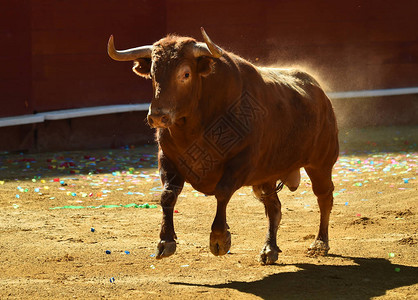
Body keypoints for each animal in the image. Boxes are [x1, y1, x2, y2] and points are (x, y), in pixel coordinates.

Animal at [106, 27, 338, 264]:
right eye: (153, 75)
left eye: (186, 74)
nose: (157, 116)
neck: (195, 124)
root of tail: (320, 93)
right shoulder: (168, 159)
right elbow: (168, 195)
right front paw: (165, 241)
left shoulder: (241, 161)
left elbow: (222, 192)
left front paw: (219, 239)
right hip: (267, 175)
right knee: (274, 207)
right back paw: (269, 249)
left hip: (320, 163)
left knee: (324, 197)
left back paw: (319, 244)